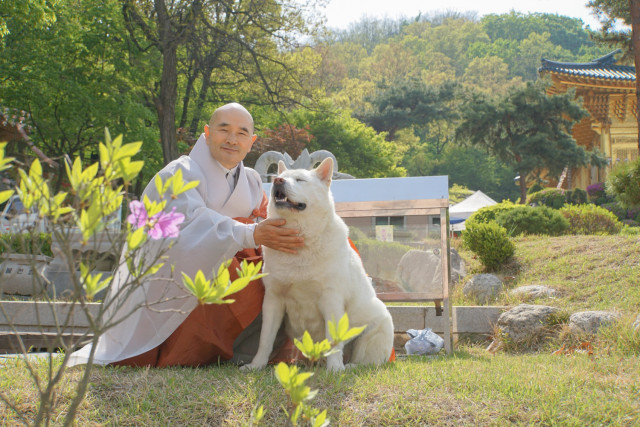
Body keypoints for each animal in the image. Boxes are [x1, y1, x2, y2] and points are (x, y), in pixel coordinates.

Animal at [242, 157, 392, 372]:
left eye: (300, 180)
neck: (302, 242)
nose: (278, 181)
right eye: (279, 177)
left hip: (377, 328)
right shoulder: (273, 300)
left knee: (365, 361)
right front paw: (256, 365)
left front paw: (335, 369)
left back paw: (347, 366)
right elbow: (265, 339)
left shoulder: (331, 299)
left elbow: (334, 341)